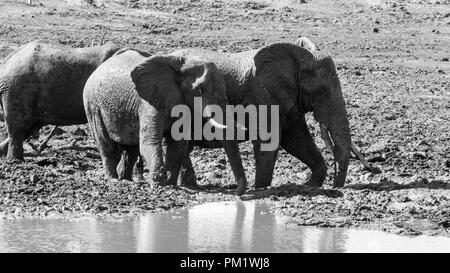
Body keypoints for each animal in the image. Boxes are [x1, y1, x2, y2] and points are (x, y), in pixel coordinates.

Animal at [82, 48, 248, 193]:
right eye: (199, 90)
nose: (237, 191)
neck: (179, 66)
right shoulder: (149, 102)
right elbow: (150, 141)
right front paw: (159, 185)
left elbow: (178, 144)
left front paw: (170, 183)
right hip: (92, 104)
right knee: (107, 145)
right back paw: (113, 179)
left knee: (132, 149)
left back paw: (126, 179)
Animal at [172, 42, 352, 187]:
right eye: (321, 91)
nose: (336, 186)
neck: (301, 55)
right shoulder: (261, 95)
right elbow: (270, 140)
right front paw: (260, 187)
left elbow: (296, 140)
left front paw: (310, 185)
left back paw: (189, 185)